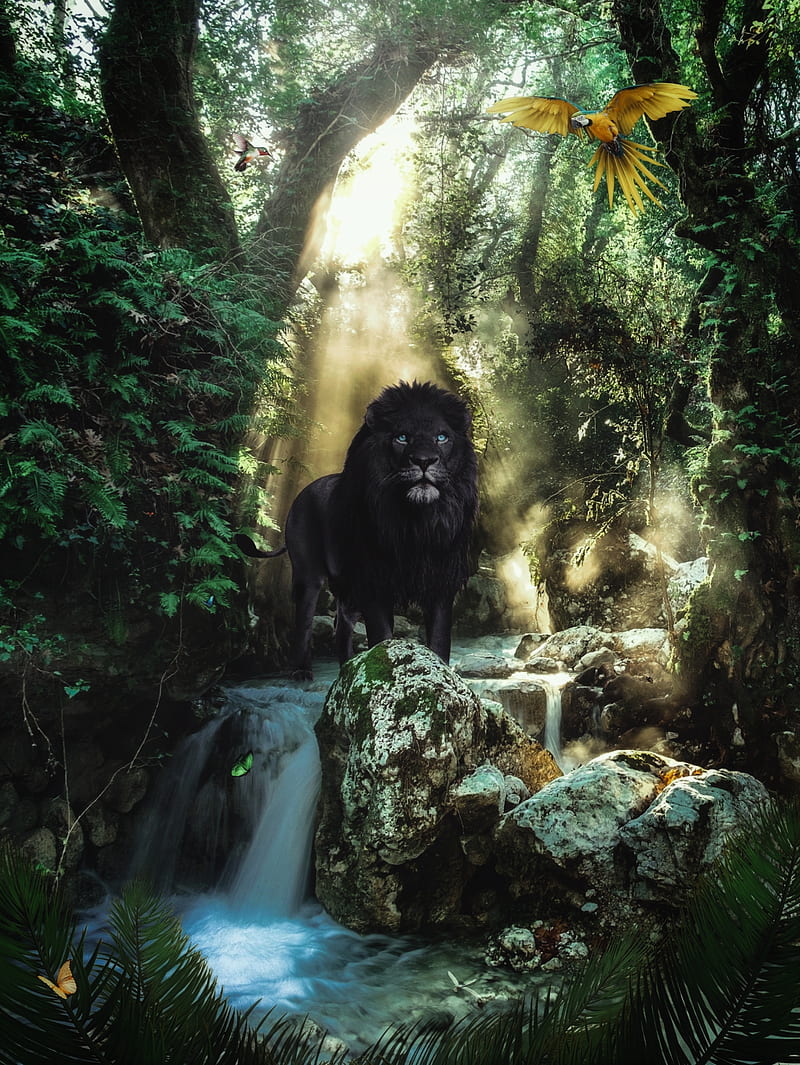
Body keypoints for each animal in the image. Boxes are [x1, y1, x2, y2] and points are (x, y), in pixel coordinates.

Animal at [236, 380, 478, 678]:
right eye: (402, 437)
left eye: (441, 438)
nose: (424, 461)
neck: (415, 522)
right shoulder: (374, 580)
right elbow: (383, 637)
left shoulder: (440, 582)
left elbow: (440, 641)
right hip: (309, 575)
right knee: (303, 622)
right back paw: (301, 671)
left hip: (347, 588)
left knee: (342, 627)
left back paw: (347, 669)